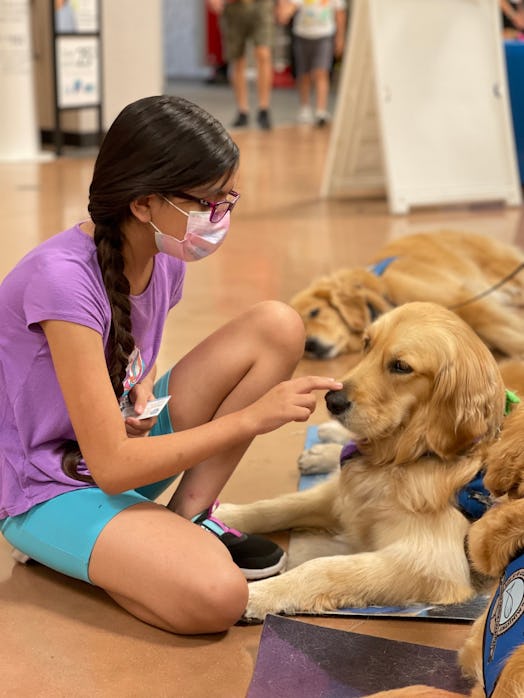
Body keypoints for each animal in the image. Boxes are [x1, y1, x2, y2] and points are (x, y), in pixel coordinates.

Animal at [216, 302, 508, 616]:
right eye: (367, 343)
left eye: (401, 367)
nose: (332, 400)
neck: (411, 458)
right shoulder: (350, 494)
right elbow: (281, 505)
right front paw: (224, 516)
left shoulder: (430, 563)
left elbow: (322, 567)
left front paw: (259, 593)